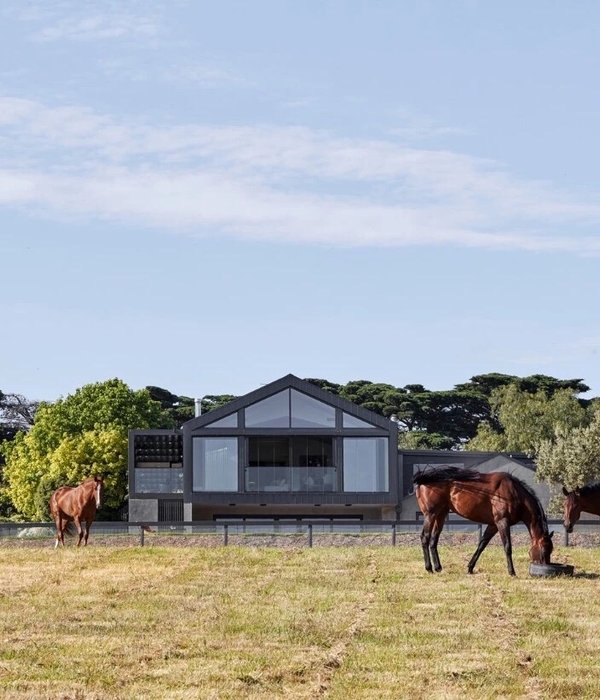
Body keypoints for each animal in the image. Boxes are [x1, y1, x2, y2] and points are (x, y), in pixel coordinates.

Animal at [412, 468, 552, 576]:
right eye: (545, 550)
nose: (545, 568)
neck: (513, 492)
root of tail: (423, 480)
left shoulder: (493, 525)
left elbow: (482, 545)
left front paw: (470, 567)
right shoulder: (502, 522)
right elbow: (507, 546)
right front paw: (512, 572)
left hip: (441, 515)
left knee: (434, 540)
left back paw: (438, 567)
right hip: (430, 515)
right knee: (425, 537)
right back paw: (429, 568)